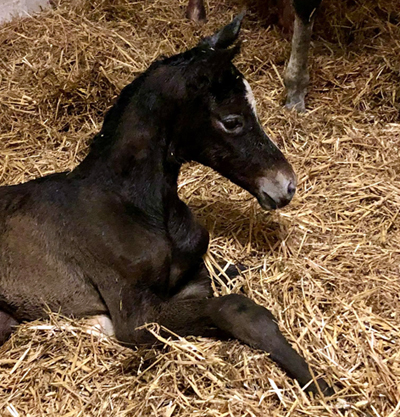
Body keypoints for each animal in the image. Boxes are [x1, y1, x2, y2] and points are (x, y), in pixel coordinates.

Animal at [0, 15, 332, 394]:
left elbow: (229, 273)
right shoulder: (136, 318)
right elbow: (237, 308)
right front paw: (318, 382)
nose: (286, 185)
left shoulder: (194, 276)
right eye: (232, 121)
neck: (138, 208)